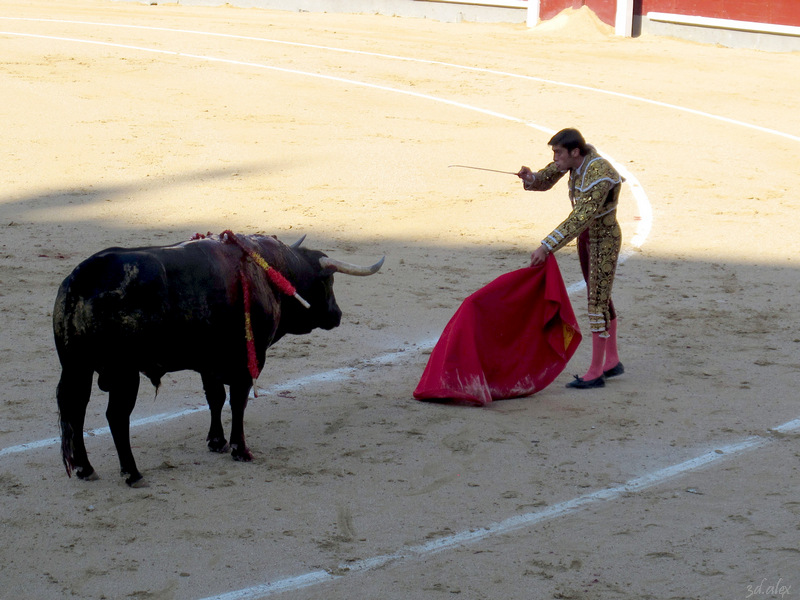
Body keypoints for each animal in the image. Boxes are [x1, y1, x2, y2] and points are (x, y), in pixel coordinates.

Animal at [54, 233, 384, 488]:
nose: (337, 315)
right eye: (328, 281)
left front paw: (217, 442)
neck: (270, 273)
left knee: (75, 409)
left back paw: (85, 468)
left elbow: (215, 398)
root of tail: (81, 279)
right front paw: (240, 449)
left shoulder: (208, 364)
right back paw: (133, 474)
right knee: (116, 416)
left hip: (77, 368)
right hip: (124, 373)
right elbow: (238, 401)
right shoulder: (248, 361)